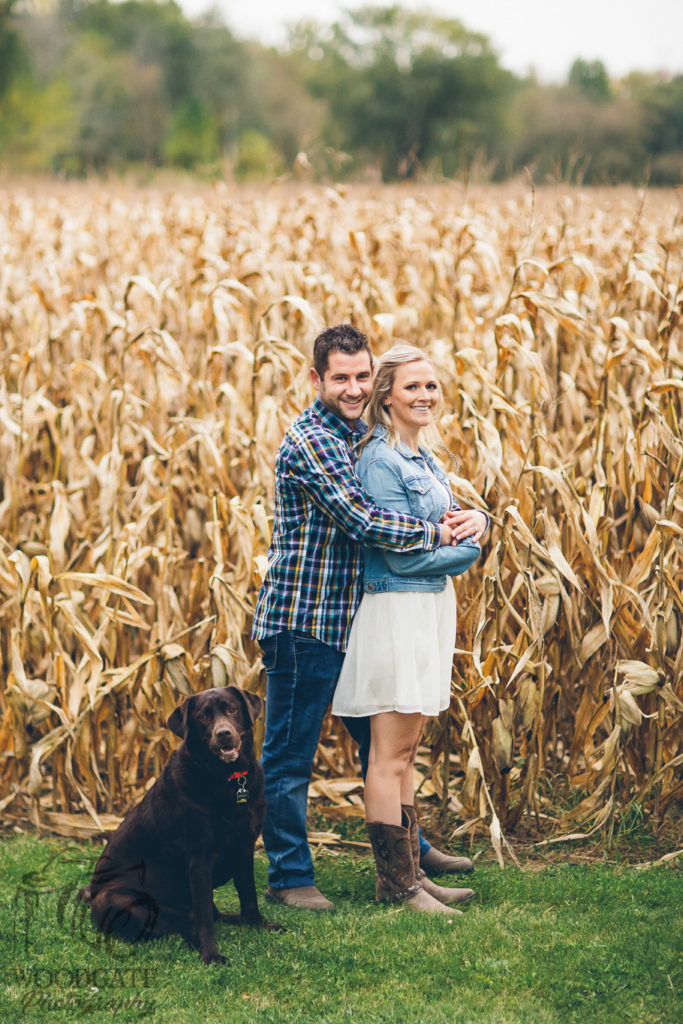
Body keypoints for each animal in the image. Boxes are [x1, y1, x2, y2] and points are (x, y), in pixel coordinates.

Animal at [78, 688, 282, 958]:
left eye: (232, 709)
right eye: (203, 716)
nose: (223, 733)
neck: (228, 779)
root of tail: (92, 895)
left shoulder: (244, 850)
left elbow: (249, 896)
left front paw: (258, 924)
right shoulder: (199, 860)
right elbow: (204, 917)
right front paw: (211, 954)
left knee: (204, 916)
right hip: (119, 899)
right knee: (178, 925)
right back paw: (194, 940)